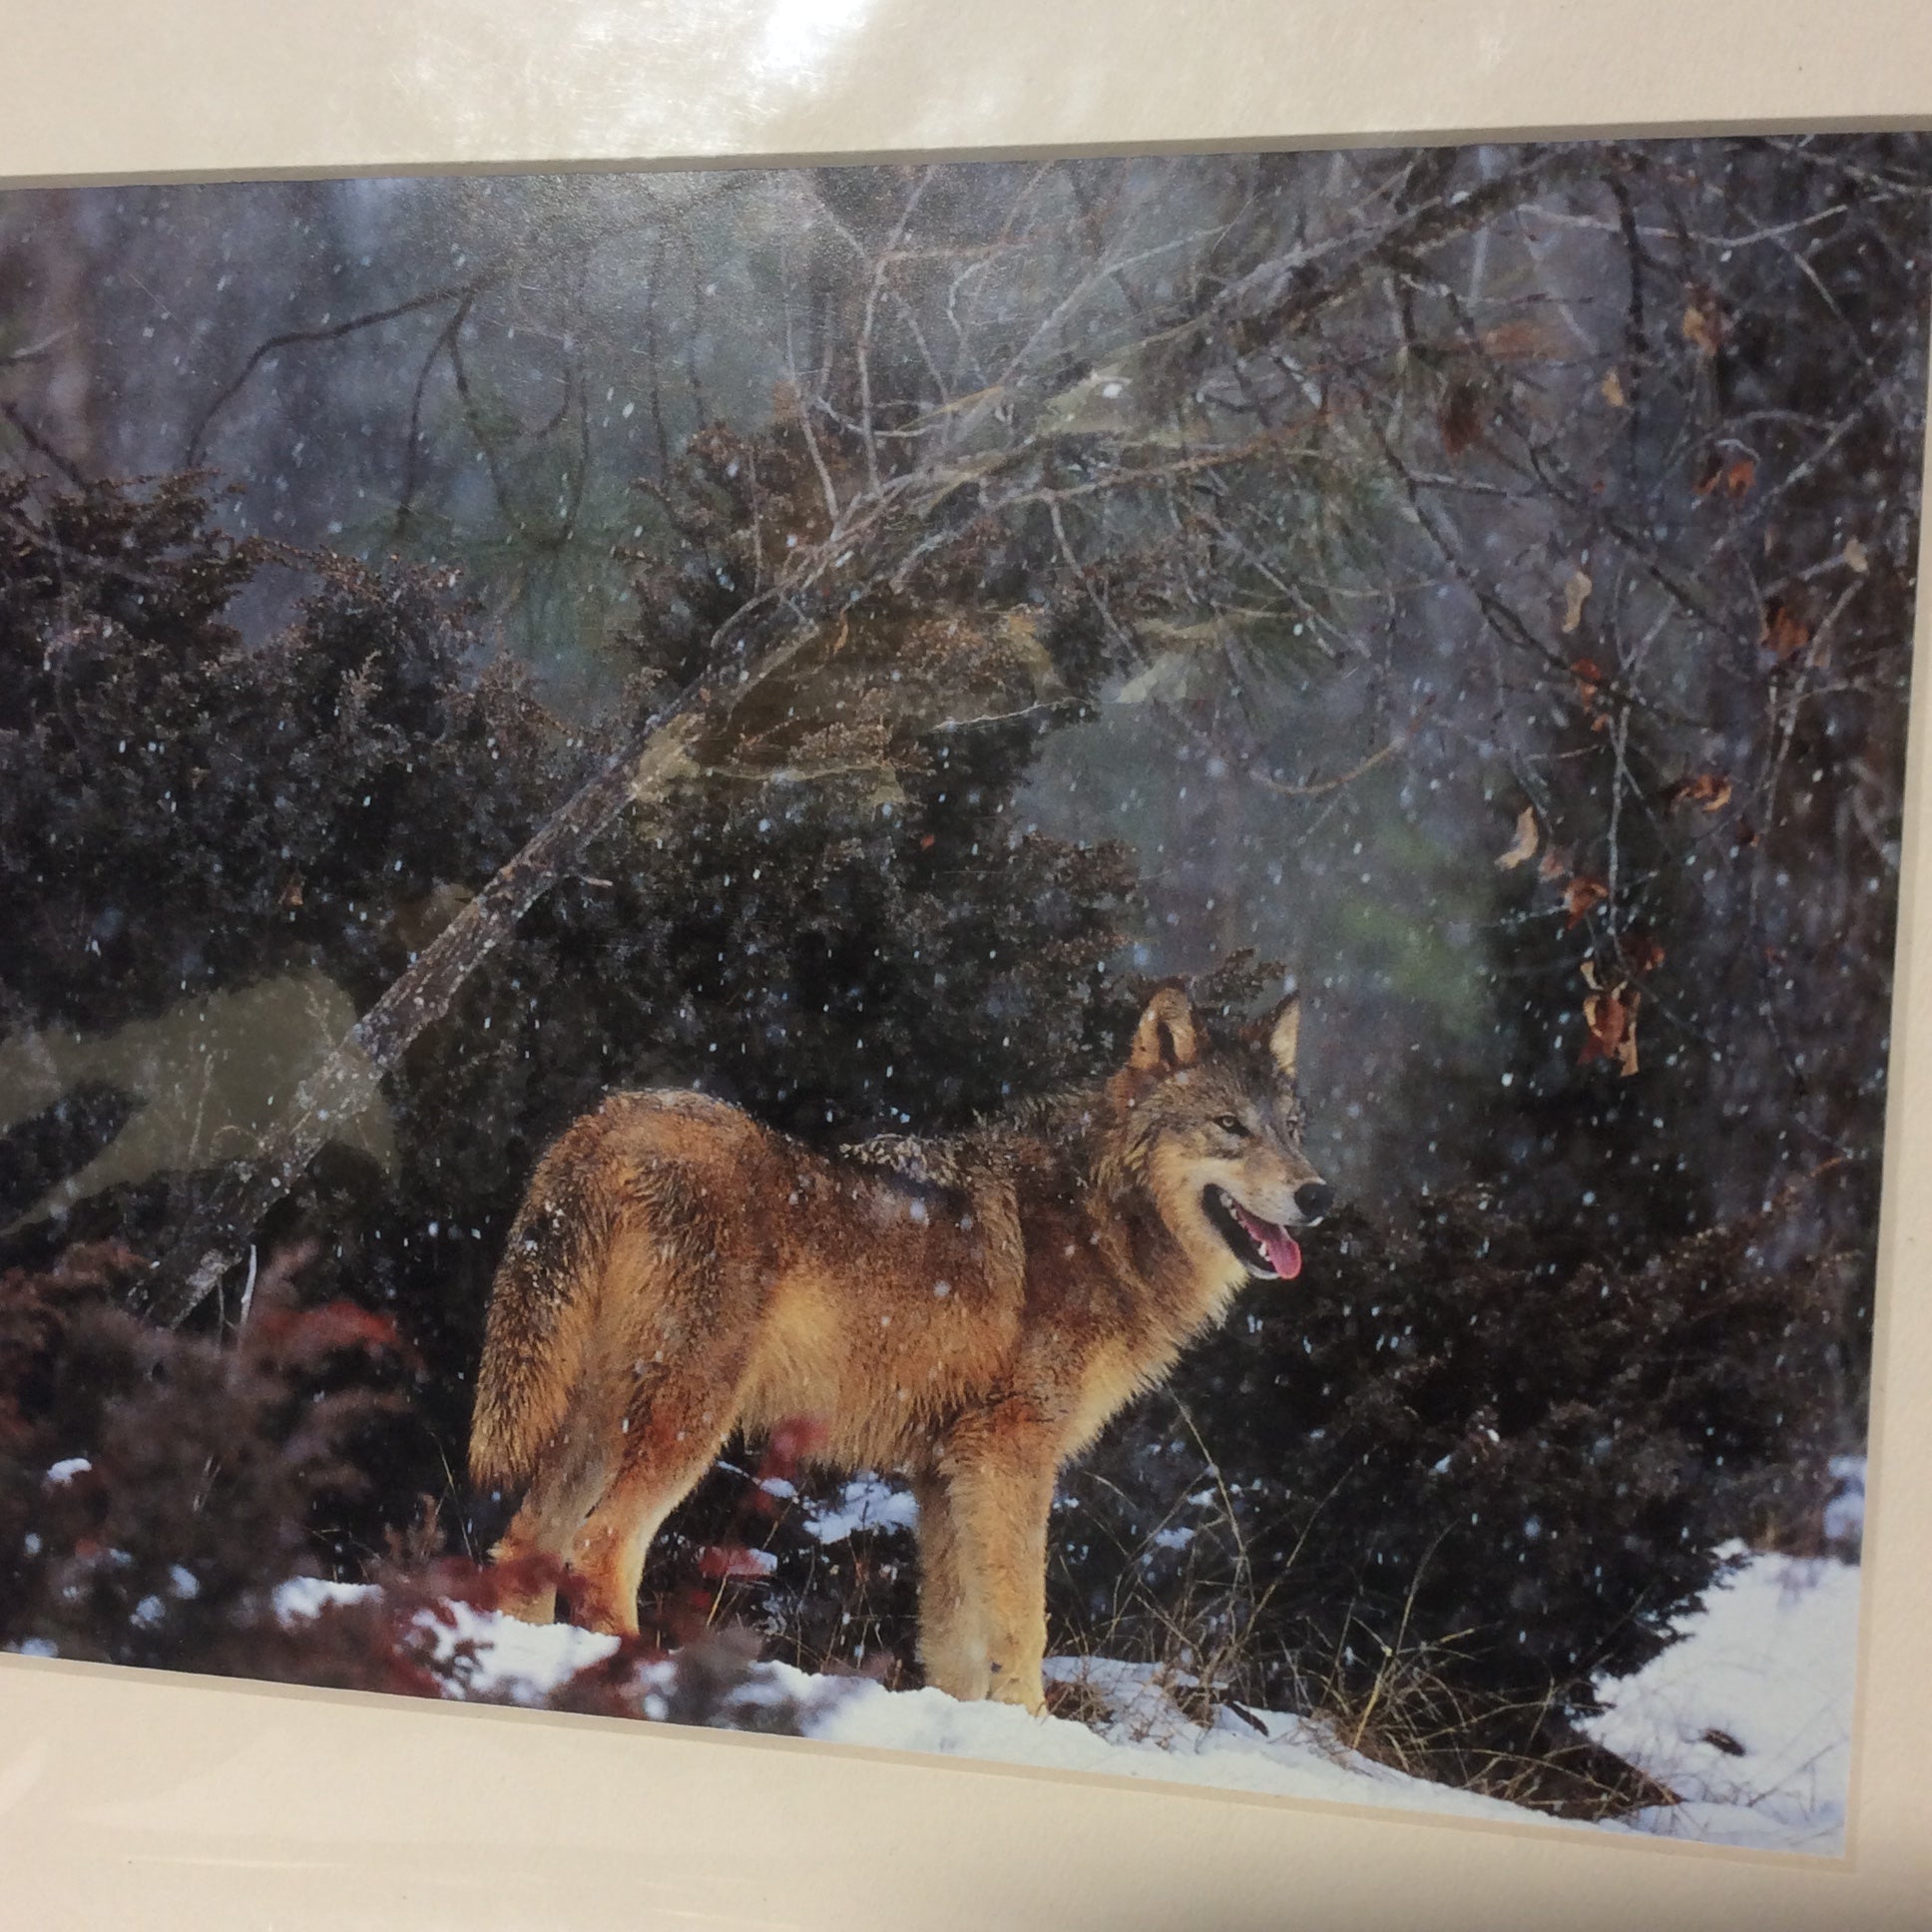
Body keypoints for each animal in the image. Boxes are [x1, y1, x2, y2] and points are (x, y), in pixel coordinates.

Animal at [469, 983, 1329, 1713]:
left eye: (1292, 1131)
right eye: (1229, 1127)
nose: (1317, 1195)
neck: (1104, 1220)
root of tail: (607, 1123)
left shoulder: (944, 1473)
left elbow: (952, 1644)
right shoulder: (1010, 1455)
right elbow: (1024, 1623)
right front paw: (1033, 1727)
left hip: (598, 1419)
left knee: (525, 1546)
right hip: (689, 1421)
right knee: (599, 1549)